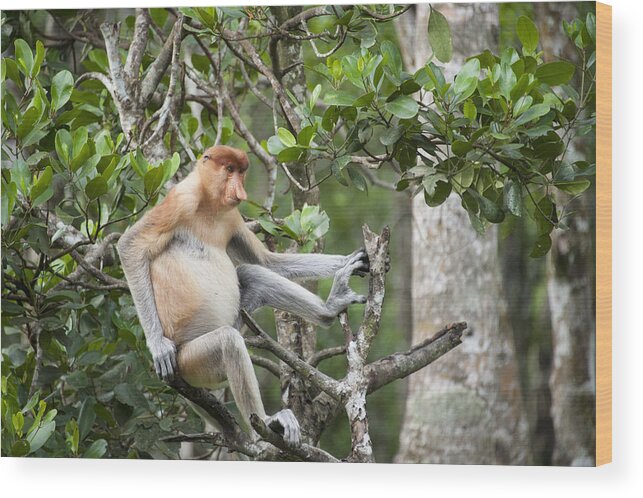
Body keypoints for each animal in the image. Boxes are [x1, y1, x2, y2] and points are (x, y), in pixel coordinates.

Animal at [117, 144, 370, 444]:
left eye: (241, 172)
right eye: (229, 169)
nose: (239, 191)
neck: (210, 204)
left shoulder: (232, 216)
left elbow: (265, 261)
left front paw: (352, 260)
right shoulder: (181, 200)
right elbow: (129, 245)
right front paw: (157, 346)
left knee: (252, 274)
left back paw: (331, 307)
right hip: (190, 361)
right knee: (229, 342)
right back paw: (267, 423)